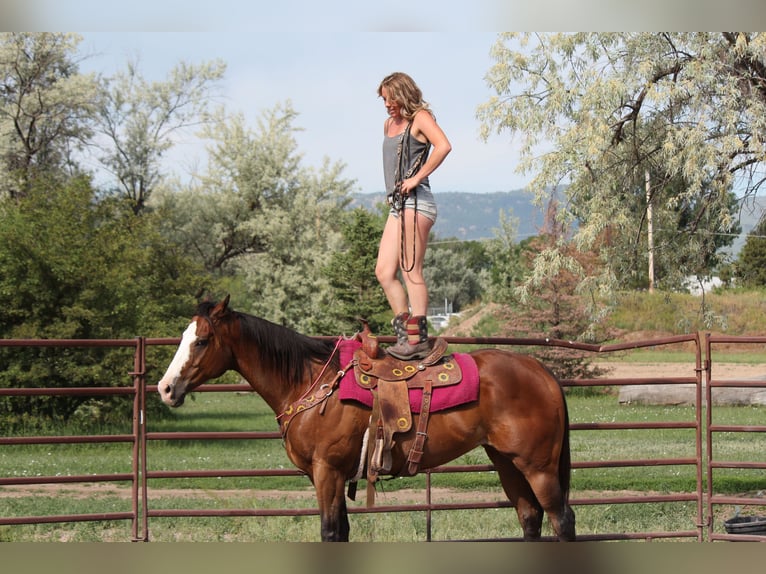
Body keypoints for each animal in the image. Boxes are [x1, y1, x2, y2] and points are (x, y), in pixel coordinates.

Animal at [157, 296, 576, 542]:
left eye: (201, 341)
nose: (165, 388)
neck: (309, 382)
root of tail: (541, 372)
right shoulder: (334, 475)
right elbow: (342, 531)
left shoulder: (327, 472)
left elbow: (329, 532)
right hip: (507, 463)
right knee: (529, 518)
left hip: (538, 467)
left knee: (562, 519)